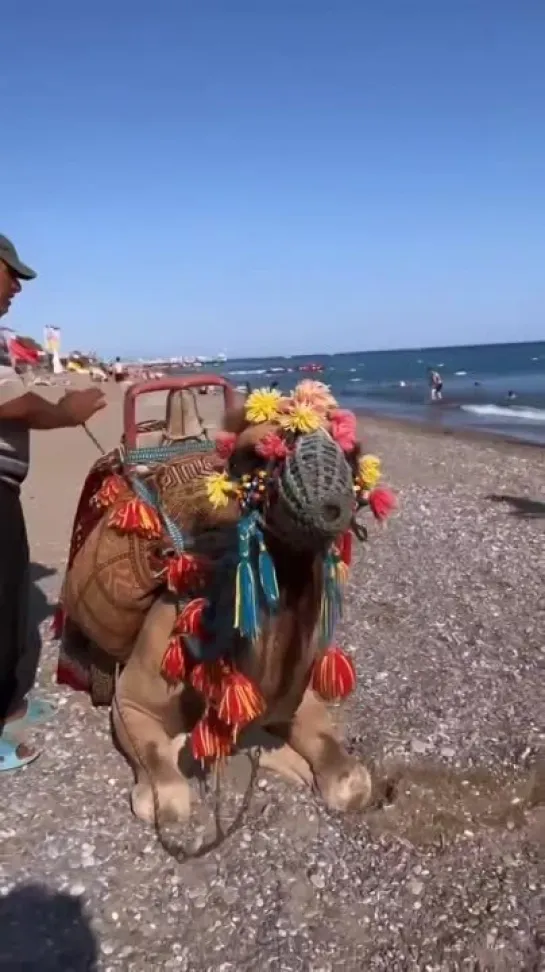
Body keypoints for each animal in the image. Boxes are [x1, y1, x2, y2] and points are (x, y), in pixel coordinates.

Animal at [56, 376, 396, 824]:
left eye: (351, 454)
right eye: (256, 454)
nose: (328, 505)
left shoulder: (296, 695)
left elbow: (350, 781)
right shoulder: (130, 701)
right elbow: (166, 795)